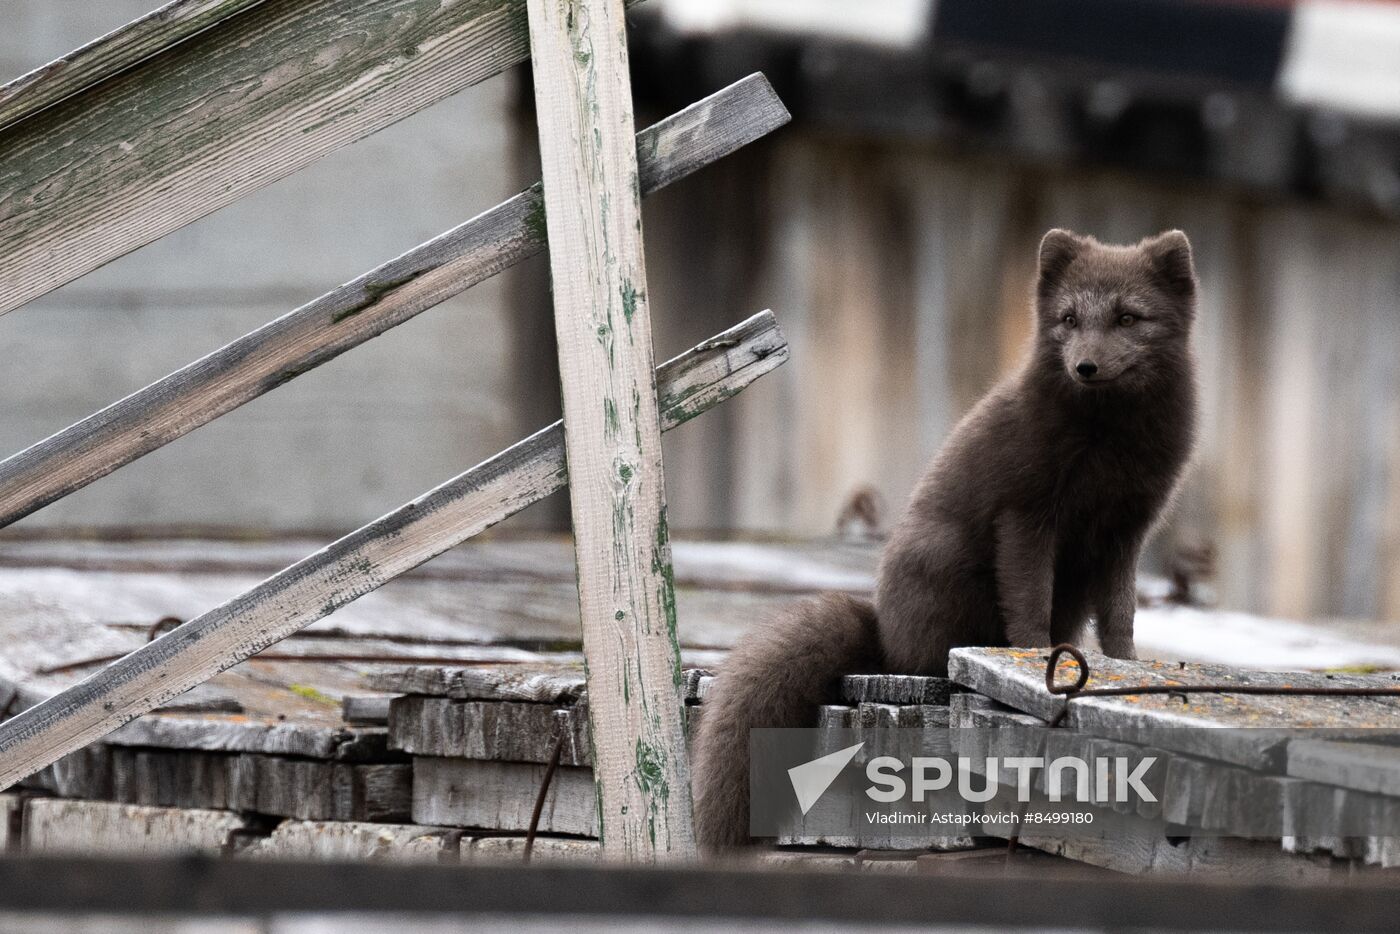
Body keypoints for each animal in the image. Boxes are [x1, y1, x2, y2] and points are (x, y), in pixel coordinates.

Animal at [694, 229, 1198, 851]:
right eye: (1069, 317)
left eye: (1128, 317)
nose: (1085, 365)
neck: (1108, 449)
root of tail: (883, 635)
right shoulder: (1026, 513)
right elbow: (1029, 601)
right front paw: (1034, 658)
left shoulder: (1127, 531)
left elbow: (1121, 615)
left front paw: (1129, 663)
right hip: (943, 557)